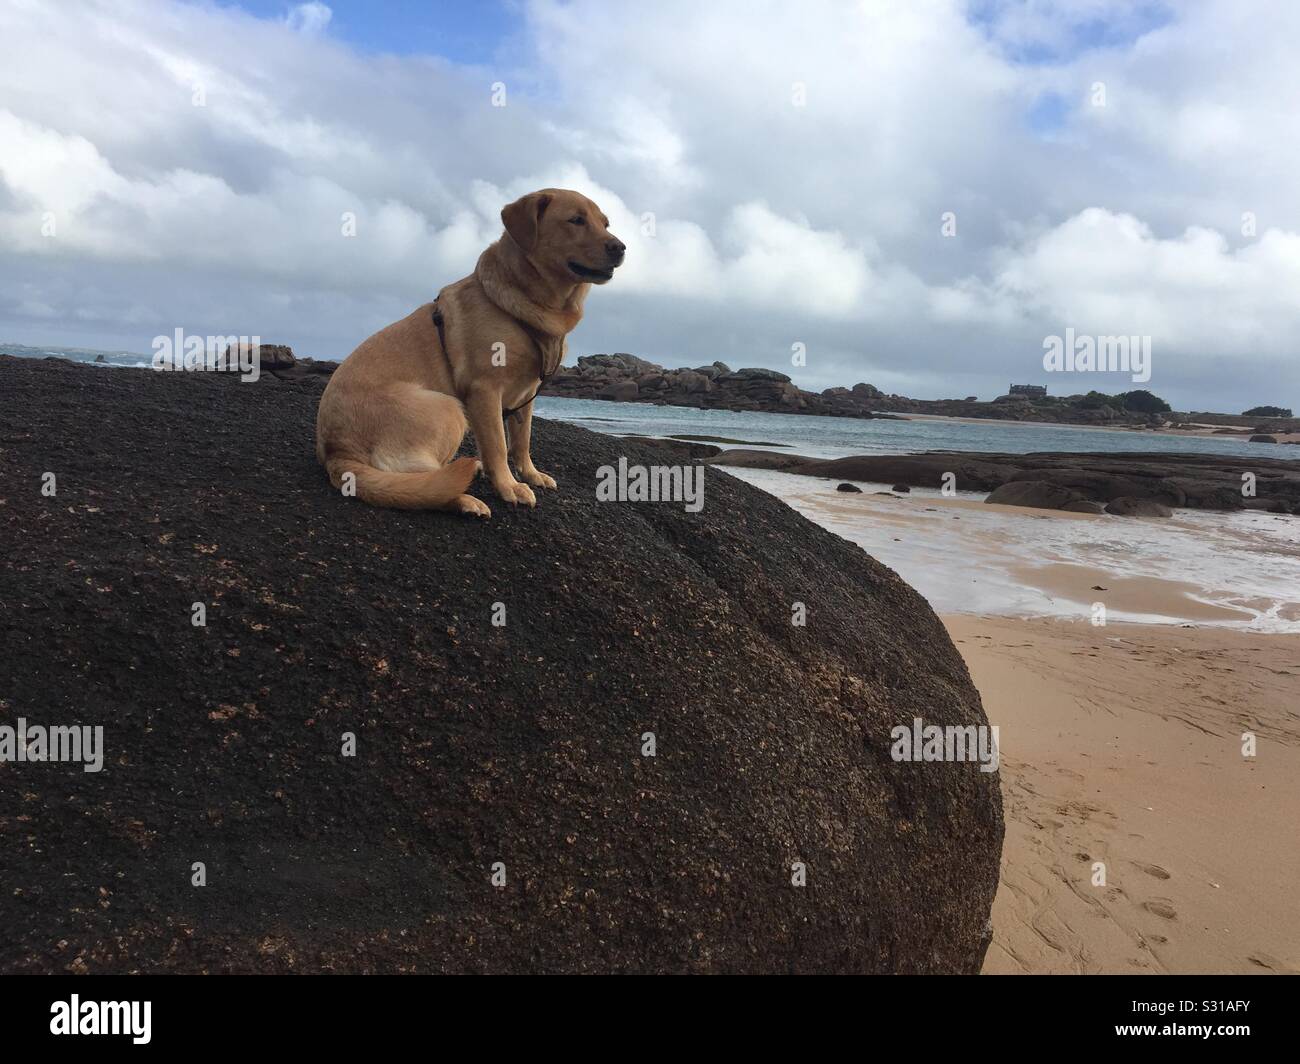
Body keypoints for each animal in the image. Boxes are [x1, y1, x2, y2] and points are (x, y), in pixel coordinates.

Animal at [312, 188, 621, 515]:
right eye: (576, 220)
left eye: (605, 223)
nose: (621, 247)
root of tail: (337, 453)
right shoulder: (484, 390)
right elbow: (498, 445)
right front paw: (509, 485)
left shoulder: (526, 396)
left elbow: (521, 440)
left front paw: (530, 473)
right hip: (447, 408)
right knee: (424, 483)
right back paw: (464, 497)